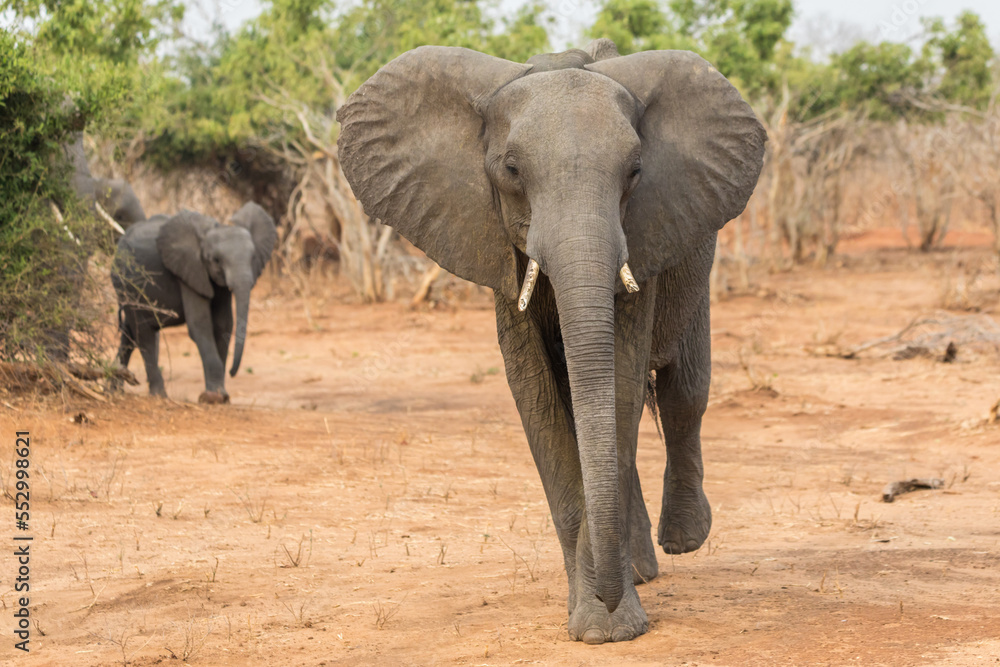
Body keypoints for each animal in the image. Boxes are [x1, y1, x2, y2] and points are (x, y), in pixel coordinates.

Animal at [111, 202, 277, 403]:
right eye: (216, 260)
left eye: (253, 258)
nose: (232, 372)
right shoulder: (189, 271)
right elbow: (201, 325)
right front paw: (214, 397)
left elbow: (223, 325)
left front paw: (220, 395)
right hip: (125, 284)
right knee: (143, 333)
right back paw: (159, 395)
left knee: (129, 333)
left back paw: (114, 390)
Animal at [337, 39, 765, 643]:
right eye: (512, 169)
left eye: (636, 171)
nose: (608, 598)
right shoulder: (492, 242)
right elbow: (536, 392)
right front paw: (598, 620)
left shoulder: (644, 233)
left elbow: (620, 379)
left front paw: (612, 626)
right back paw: (639, 569)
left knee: (684, 390)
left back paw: (680, 541)